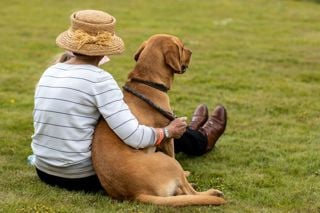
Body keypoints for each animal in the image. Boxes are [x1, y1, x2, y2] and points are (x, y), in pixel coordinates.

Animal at [91, 34, 225, 206]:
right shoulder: (169, 139)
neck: (148, 83)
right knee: (189, 191)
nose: (191, 51)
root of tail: (136, 194)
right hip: (169, 162)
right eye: (182, 47)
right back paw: (211, 191)